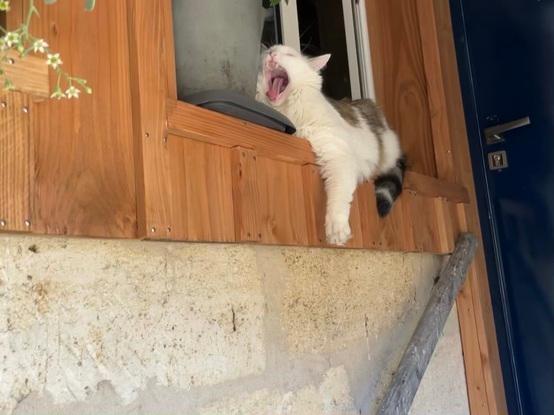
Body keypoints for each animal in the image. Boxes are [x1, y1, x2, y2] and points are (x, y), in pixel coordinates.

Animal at [256, 45, 406, 247]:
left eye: (289, 54)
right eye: (269, 50)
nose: (272, 53)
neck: (286, 113)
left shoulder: (338, 154)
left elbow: (339, 195)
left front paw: (336, 228)